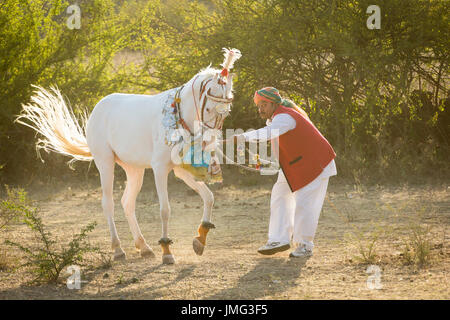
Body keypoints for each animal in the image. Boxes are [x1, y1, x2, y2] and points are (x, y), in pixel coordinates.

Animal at [16, 47, 243, 262]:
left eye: (226, 112)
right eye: (210, 109)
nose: (208, 142)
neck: (177, 116)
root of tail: (99, 107)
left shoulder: (180, 171)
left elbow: (209, 197)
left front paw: (200, 239)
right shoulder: (160, 170)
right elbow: (165, 209)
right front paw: (167, 251)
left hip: (134, 170)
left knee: (127, 203)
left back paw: (143, 246)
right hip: (105, 163)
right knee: (108, 203)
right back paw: (118, 249)